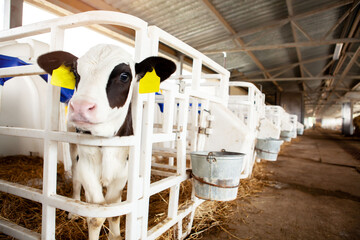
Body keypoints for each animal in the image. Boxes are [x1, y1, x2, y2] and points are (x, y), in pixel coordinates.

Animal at [38, 44, 176, 239]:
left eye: (124, 76)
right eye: (76, 73)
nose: (80, 107)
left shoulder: (122, 172)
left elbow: (114, 210)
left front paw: (114, 235)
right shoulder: (86, 166)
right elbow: (96, 215)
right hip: (73, 148)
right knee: (76, 178)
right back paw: (74, 208)